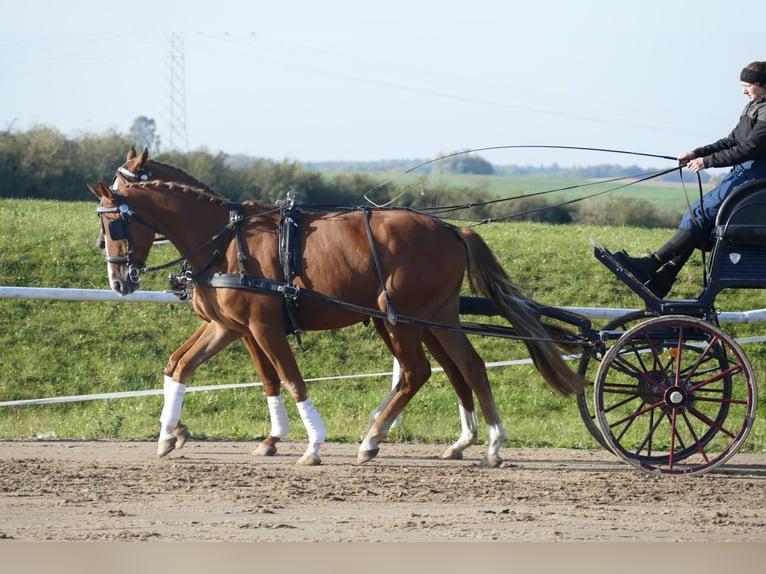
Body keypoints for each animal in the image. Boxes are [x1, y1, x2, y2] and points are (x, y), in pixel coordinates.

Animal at [93, 150, 584, 468]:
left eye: (114, 221)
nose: (119, 280)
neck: (227, 240)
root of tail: (450, 229)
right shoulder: (228, 326)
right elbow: (182, 366)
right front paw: (170, 434)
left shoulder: (260, 326)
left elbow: (289, 379)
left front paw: (311, 444)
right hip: (434, 316)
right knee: (468, 367)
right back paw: (486, 442)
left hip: (402, 316)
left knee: (419, 372)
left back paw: (376, 439)